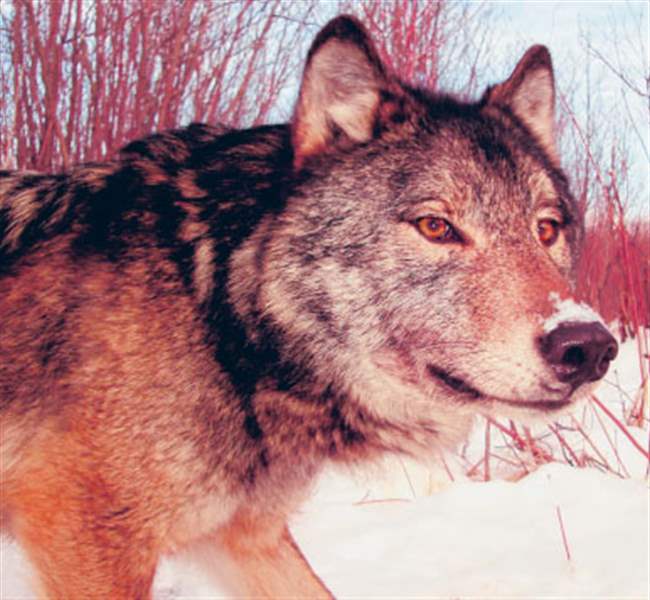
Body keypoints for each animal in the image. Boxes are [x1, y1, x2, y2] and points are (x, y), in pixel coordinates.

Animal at [0, 15, 617, 599]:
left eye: (546, 230)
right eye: (436, 226)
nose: (587, 346)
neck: (219, 313)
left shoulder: (247, 537)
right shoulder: (89, 541)